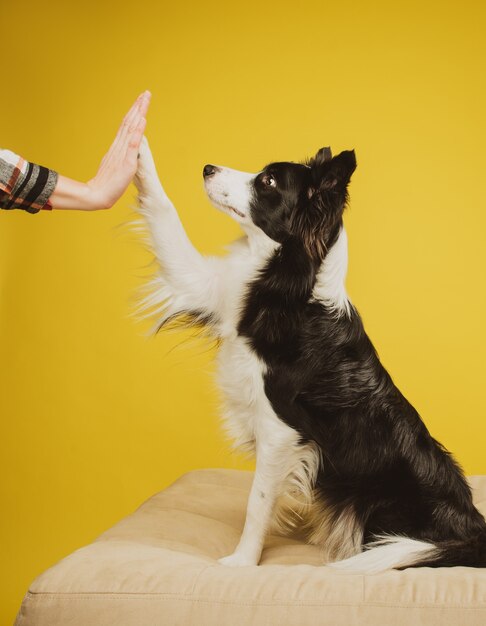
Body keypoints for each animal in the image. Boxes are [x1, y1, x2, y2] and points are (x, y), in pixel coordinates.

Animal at [134, 136, 486, 572]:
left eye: (267, 181)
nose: (207, 168)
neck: (294, 288)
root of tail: (473, 530)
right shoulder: (210, 290)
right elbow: (165, 216)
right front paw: (136, 150)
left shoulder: (280, 428)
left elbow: (257, 502)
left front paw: (241, 561)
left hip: (377, 505)